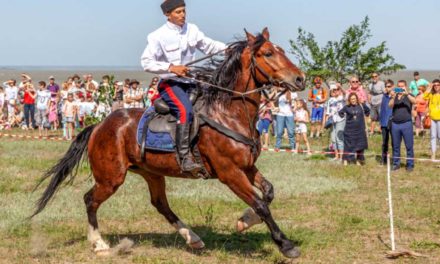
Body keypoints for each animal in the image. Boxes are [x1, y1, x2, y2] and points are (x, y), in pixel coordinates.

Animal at [32, 27, 306, 258]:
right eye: (268, 53)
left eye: (281, 50)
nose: (300, 79)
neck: (228, 113)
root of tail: (99, 126)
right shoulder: (230, 172)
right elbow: (260, 204)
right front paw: (285, 245)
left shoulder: (247, 167)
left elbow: (268, 192)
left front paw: (244, 221)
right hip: (111, 178)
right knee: (90, 199)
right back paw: (99, 244)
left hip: (151, 173)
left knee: (160, 204)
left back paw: (192, 238)